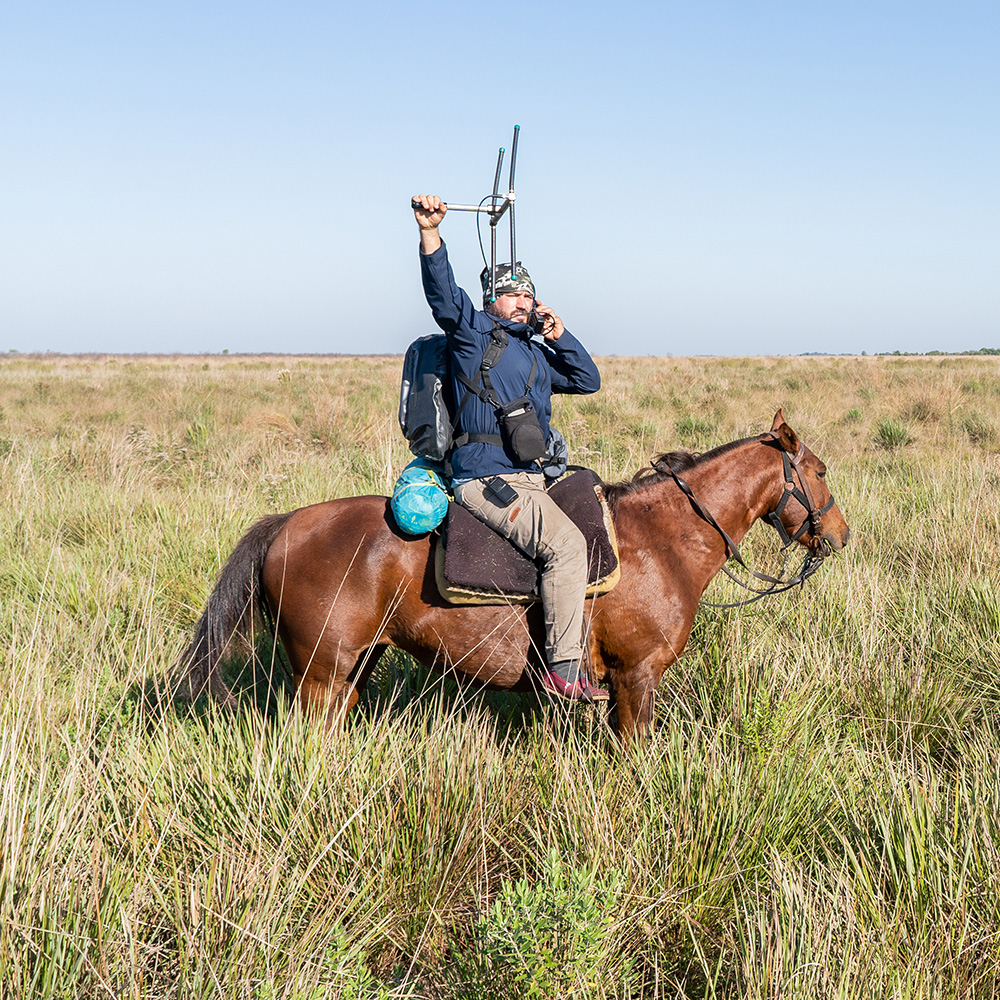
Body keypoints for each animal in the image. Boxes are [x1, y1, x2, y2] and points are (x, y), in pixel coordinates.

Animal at [176, 410, 848, 740]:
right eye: (816, 471)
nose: (840, 535)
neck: (663, 540)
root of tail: (287, 524)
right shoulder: (636, 678)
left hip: (350, 671)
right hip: (319, 676)